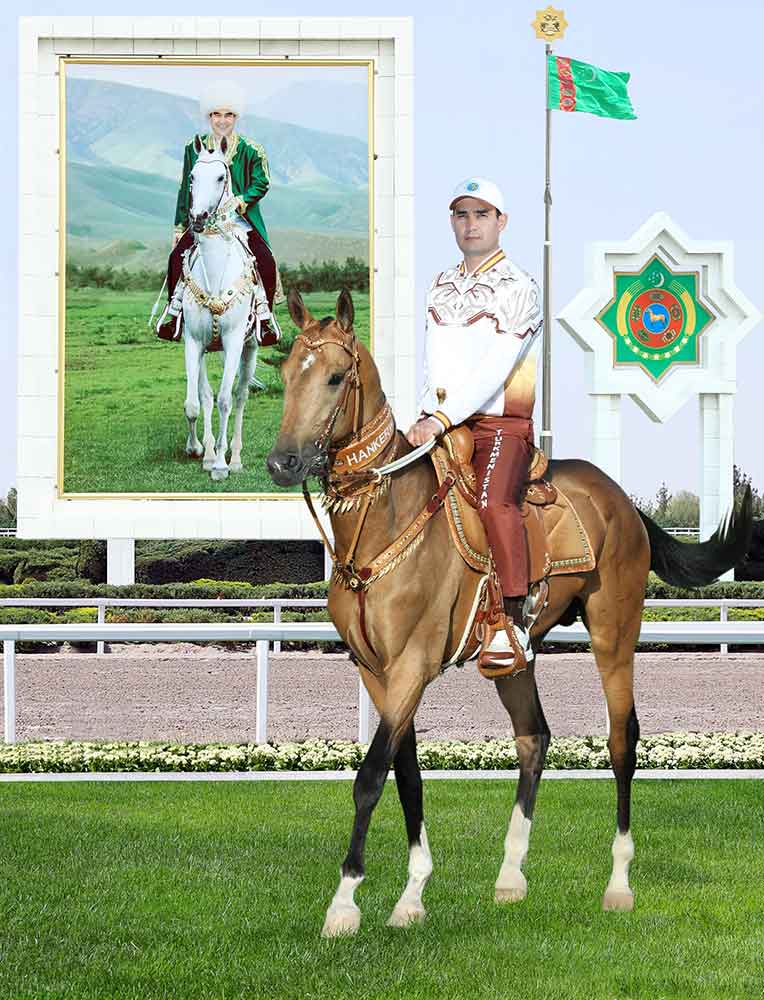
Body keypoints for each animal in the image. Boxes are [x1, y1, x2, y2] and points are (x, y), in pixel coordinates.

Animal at [181, 134, 270, 480]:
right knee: (205, 396)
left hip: (250, 347)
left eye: (221, 177)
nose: (198, 219)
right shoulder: (194, 342)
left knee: (241, 396)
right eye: (192, 177)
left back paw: (234, 456)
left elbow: (224, 400)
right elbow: (196, 403)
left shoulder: (233, 342)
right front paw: (198, 450)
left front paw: (220, 464)